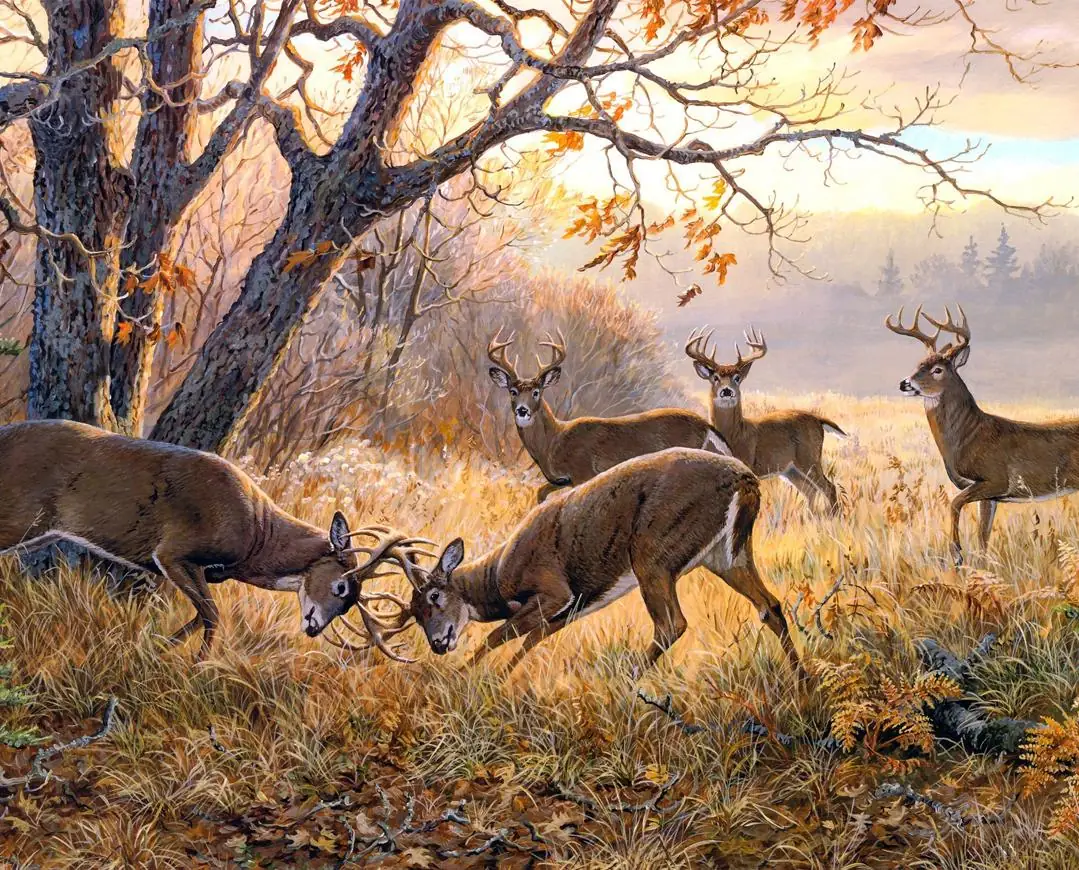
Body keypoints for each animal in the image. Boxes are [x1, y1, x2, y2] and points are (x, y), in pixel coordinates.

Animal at [0, 420, 422, 658]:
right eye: (340, 587)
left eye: (350, 604)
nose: (314, 627)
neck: (258, 537)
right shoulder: (173, 552)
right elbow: (212, 615)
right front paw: (196, 664)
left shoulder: (204, 570)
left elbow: (199, 615)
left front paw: (157, 651)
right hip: (18, 517)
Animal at [343, 447, 800, 674]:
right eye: (415, 613)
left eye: (435, 597)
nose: (439, 644)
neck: (499, 575)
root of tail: (746, 480)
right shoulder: (571, 608)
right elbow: (528, 641)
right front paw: (499, 679)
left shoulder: (553, 590)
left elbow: (499, 636)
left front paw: (465, 679)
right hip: (726, 554)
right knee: (771, 606)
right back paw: (801, 681)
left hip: (652, 552)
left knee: (673, 623)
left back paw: (627, 682)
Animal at [486, 330, 731, 502]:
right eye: (513, 391)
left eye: (536, 392)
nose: (522, 410)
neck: (553, 442)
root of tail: (705, 425)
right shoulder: (561, 479)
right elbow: (540, 493)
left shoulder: (583, 472)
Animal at [685, 327, 846, 513]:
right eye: (715, 377)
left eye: (737, 378)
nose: (726, 391)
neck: (734, 434)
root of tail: (818, 419)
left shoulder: (747, 463)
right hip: (791, 469)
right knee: (810, 491)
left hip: (809, 457)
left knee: (828, 487)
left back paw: (835, 516)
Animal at [885, 305, 1079, 565]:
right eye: (918, 364)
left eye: (937, 369)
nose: (904, 384)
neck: (969, 435)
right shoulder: (989, 496)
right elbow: (983, 537)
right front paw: (980, 565)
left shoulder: (995, 479)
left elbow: (954, 503)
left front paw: (957, 553)